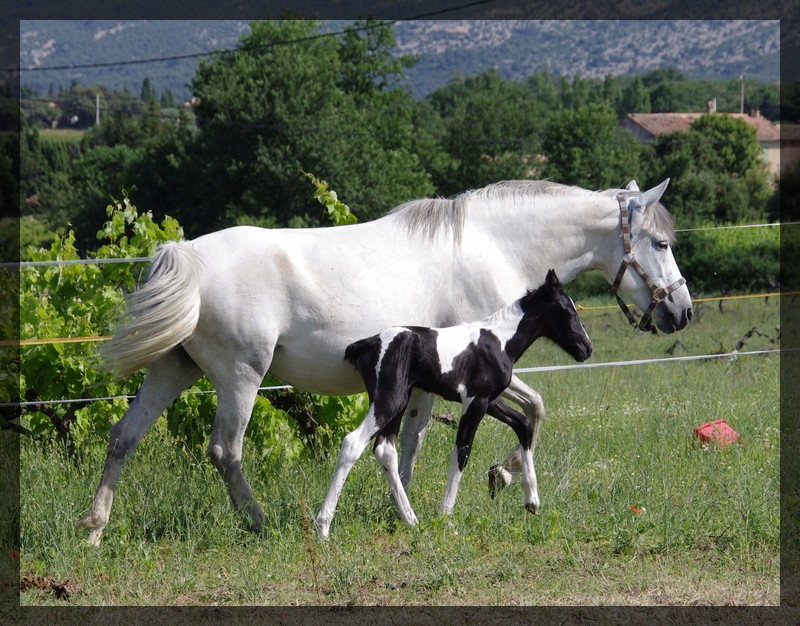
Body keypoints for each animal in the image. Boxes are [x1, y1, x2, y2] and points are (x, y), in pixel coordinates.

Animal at [316, 268, 592, 536]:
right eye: (567, 311)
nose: (587, 349)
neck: (499, 341)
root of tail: (370, 343)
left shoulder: (488, 400)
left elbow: (523, 424)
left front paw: (532, 500)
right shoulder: (476, 401)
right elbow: (462, 452)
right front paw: (446, 517)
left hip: (396, 402)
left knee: (385, 449)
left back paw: (411, 521)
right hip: (389, 401)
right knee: (353, 443)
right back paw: (323, 527)